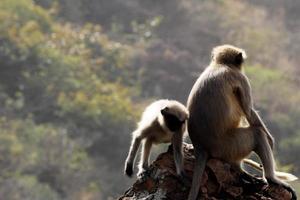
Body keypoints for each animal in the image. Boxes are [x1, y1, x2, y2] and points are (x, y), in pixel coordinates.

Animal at [186, 45, 296, 200]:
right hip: (229, 146)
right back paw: (271, 178)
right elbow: (249, 112)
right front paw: (270, 140)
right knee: (257, 134)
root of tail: (200, 146)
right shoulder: (240, 77)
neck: (220, 65)